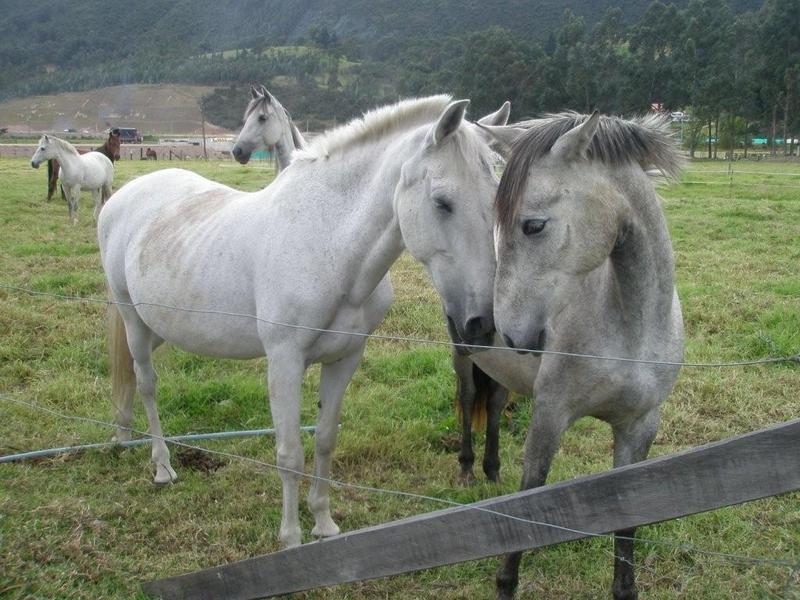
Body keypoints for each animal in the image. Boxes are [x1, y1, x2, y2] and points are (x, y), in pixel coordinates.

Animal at [98, 95, 500, 548]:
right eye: (442, 202)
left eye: (496, 198)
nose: (481, 323)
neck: (328, 243)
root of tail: (123, 197)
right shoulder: (284, 361)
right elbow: (290, 453)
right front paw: (290, 538)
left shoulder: (345, 358)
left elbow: (325, 439)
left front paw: (323, 522)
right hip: (132, 318)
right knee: (146, 384)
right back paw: (163, 466)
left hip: (159, 327)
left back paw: (123, 433)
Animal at [484, 112, 684, 600]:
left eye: (533, 226)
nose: (509, 332)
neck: (632, 328)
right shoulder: (550, 414)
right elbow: (530, 497)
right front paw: (505, 584)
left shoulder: (640, 426)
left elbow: (627, 522)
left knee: (493, 409)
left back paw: (489, 470)